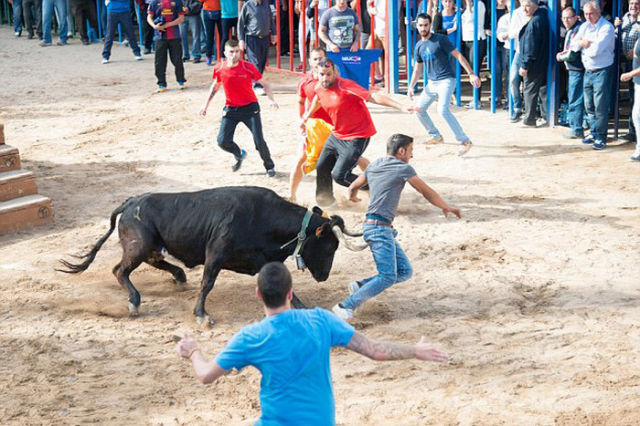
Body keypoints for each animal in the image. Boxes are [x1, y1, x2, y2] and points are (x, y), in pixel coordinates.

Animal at [58, 186, 367, 325]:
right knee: (120, 270)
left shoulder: (263, 260)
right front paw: (201, 315)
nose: (324, 276)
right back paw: (134, 302)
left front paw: (302, 308)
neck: (263, 217)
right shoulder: (216, 254)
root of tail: (132, 201)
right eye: (330, 247)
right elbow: (207, 283)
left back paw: (179, 277)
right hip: (139, 245)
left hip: (149, 246)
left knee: (154, 262)